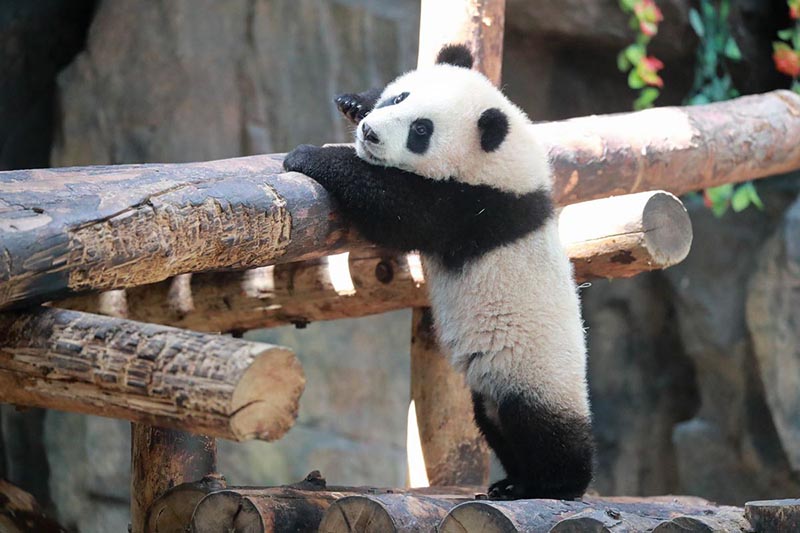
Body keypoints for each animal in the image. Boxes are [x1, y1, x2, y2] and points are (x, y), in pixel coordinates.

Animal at [283, 44, 593, 500]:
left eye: (421, 131)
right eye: (400, 98)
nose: (370, 133)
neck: (501, 155)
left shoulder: (474, 207)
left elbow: (395, 207)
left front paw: (308, 155)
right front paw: (355, 102)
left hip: (536, 374)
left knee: (543, 432)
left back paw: (552, 484)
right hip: (490, 394)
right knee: (494, 422)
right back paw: (512, 481)